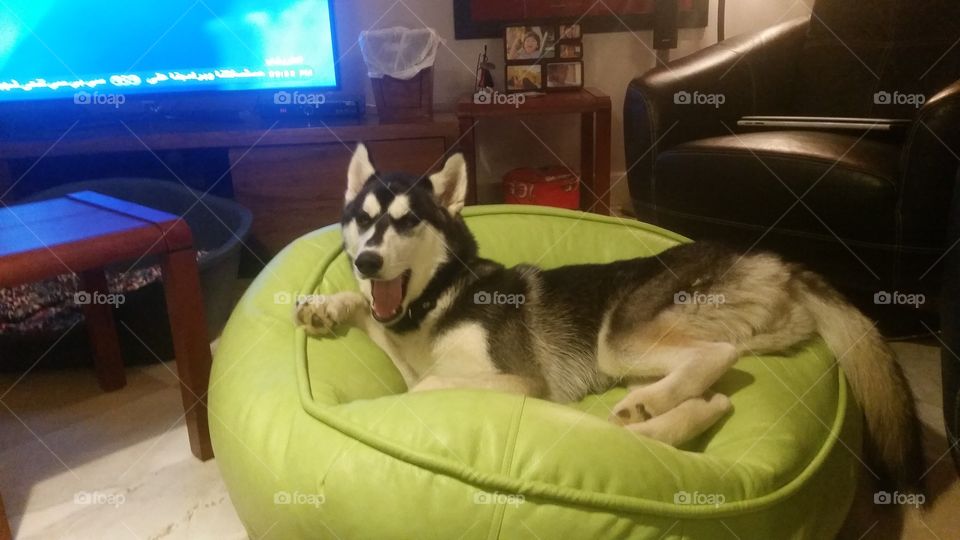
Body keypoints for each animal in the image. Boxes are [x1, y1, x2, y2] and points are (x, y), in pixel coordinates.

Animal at [298, 146, 924, 488]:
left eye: (408, 221)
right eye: (363, 219)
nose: (367, 260)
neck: (440, 297)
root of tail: (776, 260)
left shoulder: (519, 380)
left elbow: (425, 387)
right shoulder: (401, 341)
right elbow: (381, 332)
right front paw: (326, 306)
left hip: (622, 338)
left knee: (711, 358)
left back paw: (652, 406)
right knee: (717, 383)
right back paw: (684, 407)